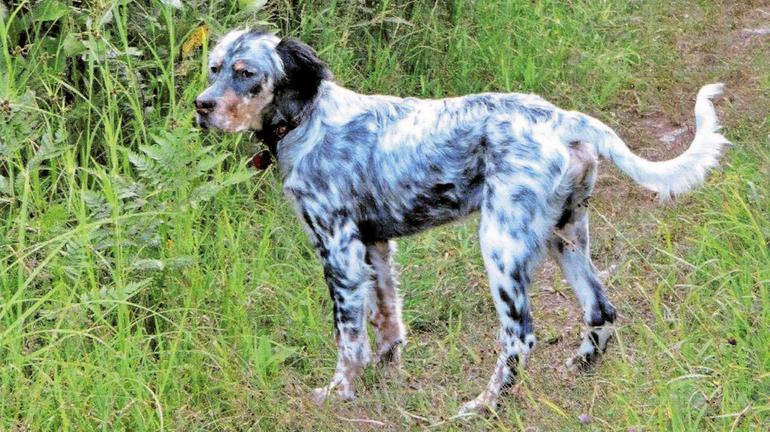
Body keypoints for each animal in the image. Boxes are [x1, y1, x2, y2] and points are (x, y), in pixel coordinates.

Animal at [194, 28, 728, 414]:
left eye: (245, 73)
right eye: (214, 68)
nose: (201, 106)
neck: (308, 121)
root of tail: (564, 118)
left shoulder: (339, 250)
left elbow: (349, 338)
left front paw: (339, 392)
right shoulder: (375, 247)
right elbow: (387, 324)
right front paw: (388, 377)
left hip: (501, 245)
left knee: (520, 336)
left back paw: (486, 405)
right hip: (566, 236)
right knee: (602, 312)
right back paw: (577, 369)